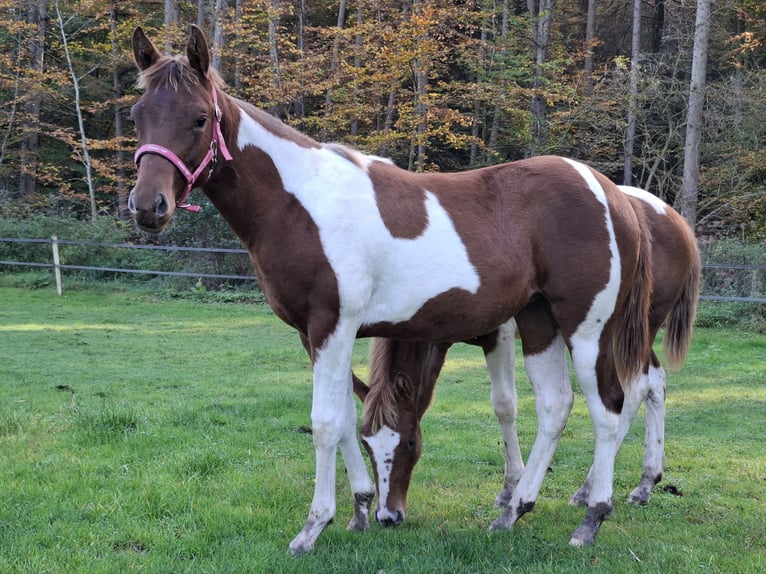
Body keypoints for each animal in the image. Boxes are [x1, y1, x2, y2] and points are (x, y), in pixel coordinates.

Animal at [127, 27, 656, 560]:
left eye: (199, 117)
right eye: (137, 115)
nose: (149, 206)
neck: (301, 202)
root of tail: (613, 196)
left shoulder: (333, 326)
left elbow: (323, 422)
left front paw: (312, 527)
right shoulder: (312, 334)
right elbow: (344, 419)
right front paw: (360, 509)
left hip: (588, 330)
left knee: (610, 407)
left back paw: (591, 517)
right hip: (538, 321)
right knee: (555, 405)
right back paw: (513, 512)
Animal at [358, 188, 704, 540]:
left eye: (409, 442)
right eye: (365, 444)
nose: (388, 516)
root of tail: (677, 223)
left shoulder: (500, 337)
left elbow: (504, 406)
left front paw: (510, 487)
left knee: (634, 391)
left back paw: (598, 489)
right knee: (654, 384)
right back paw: (641, 482)